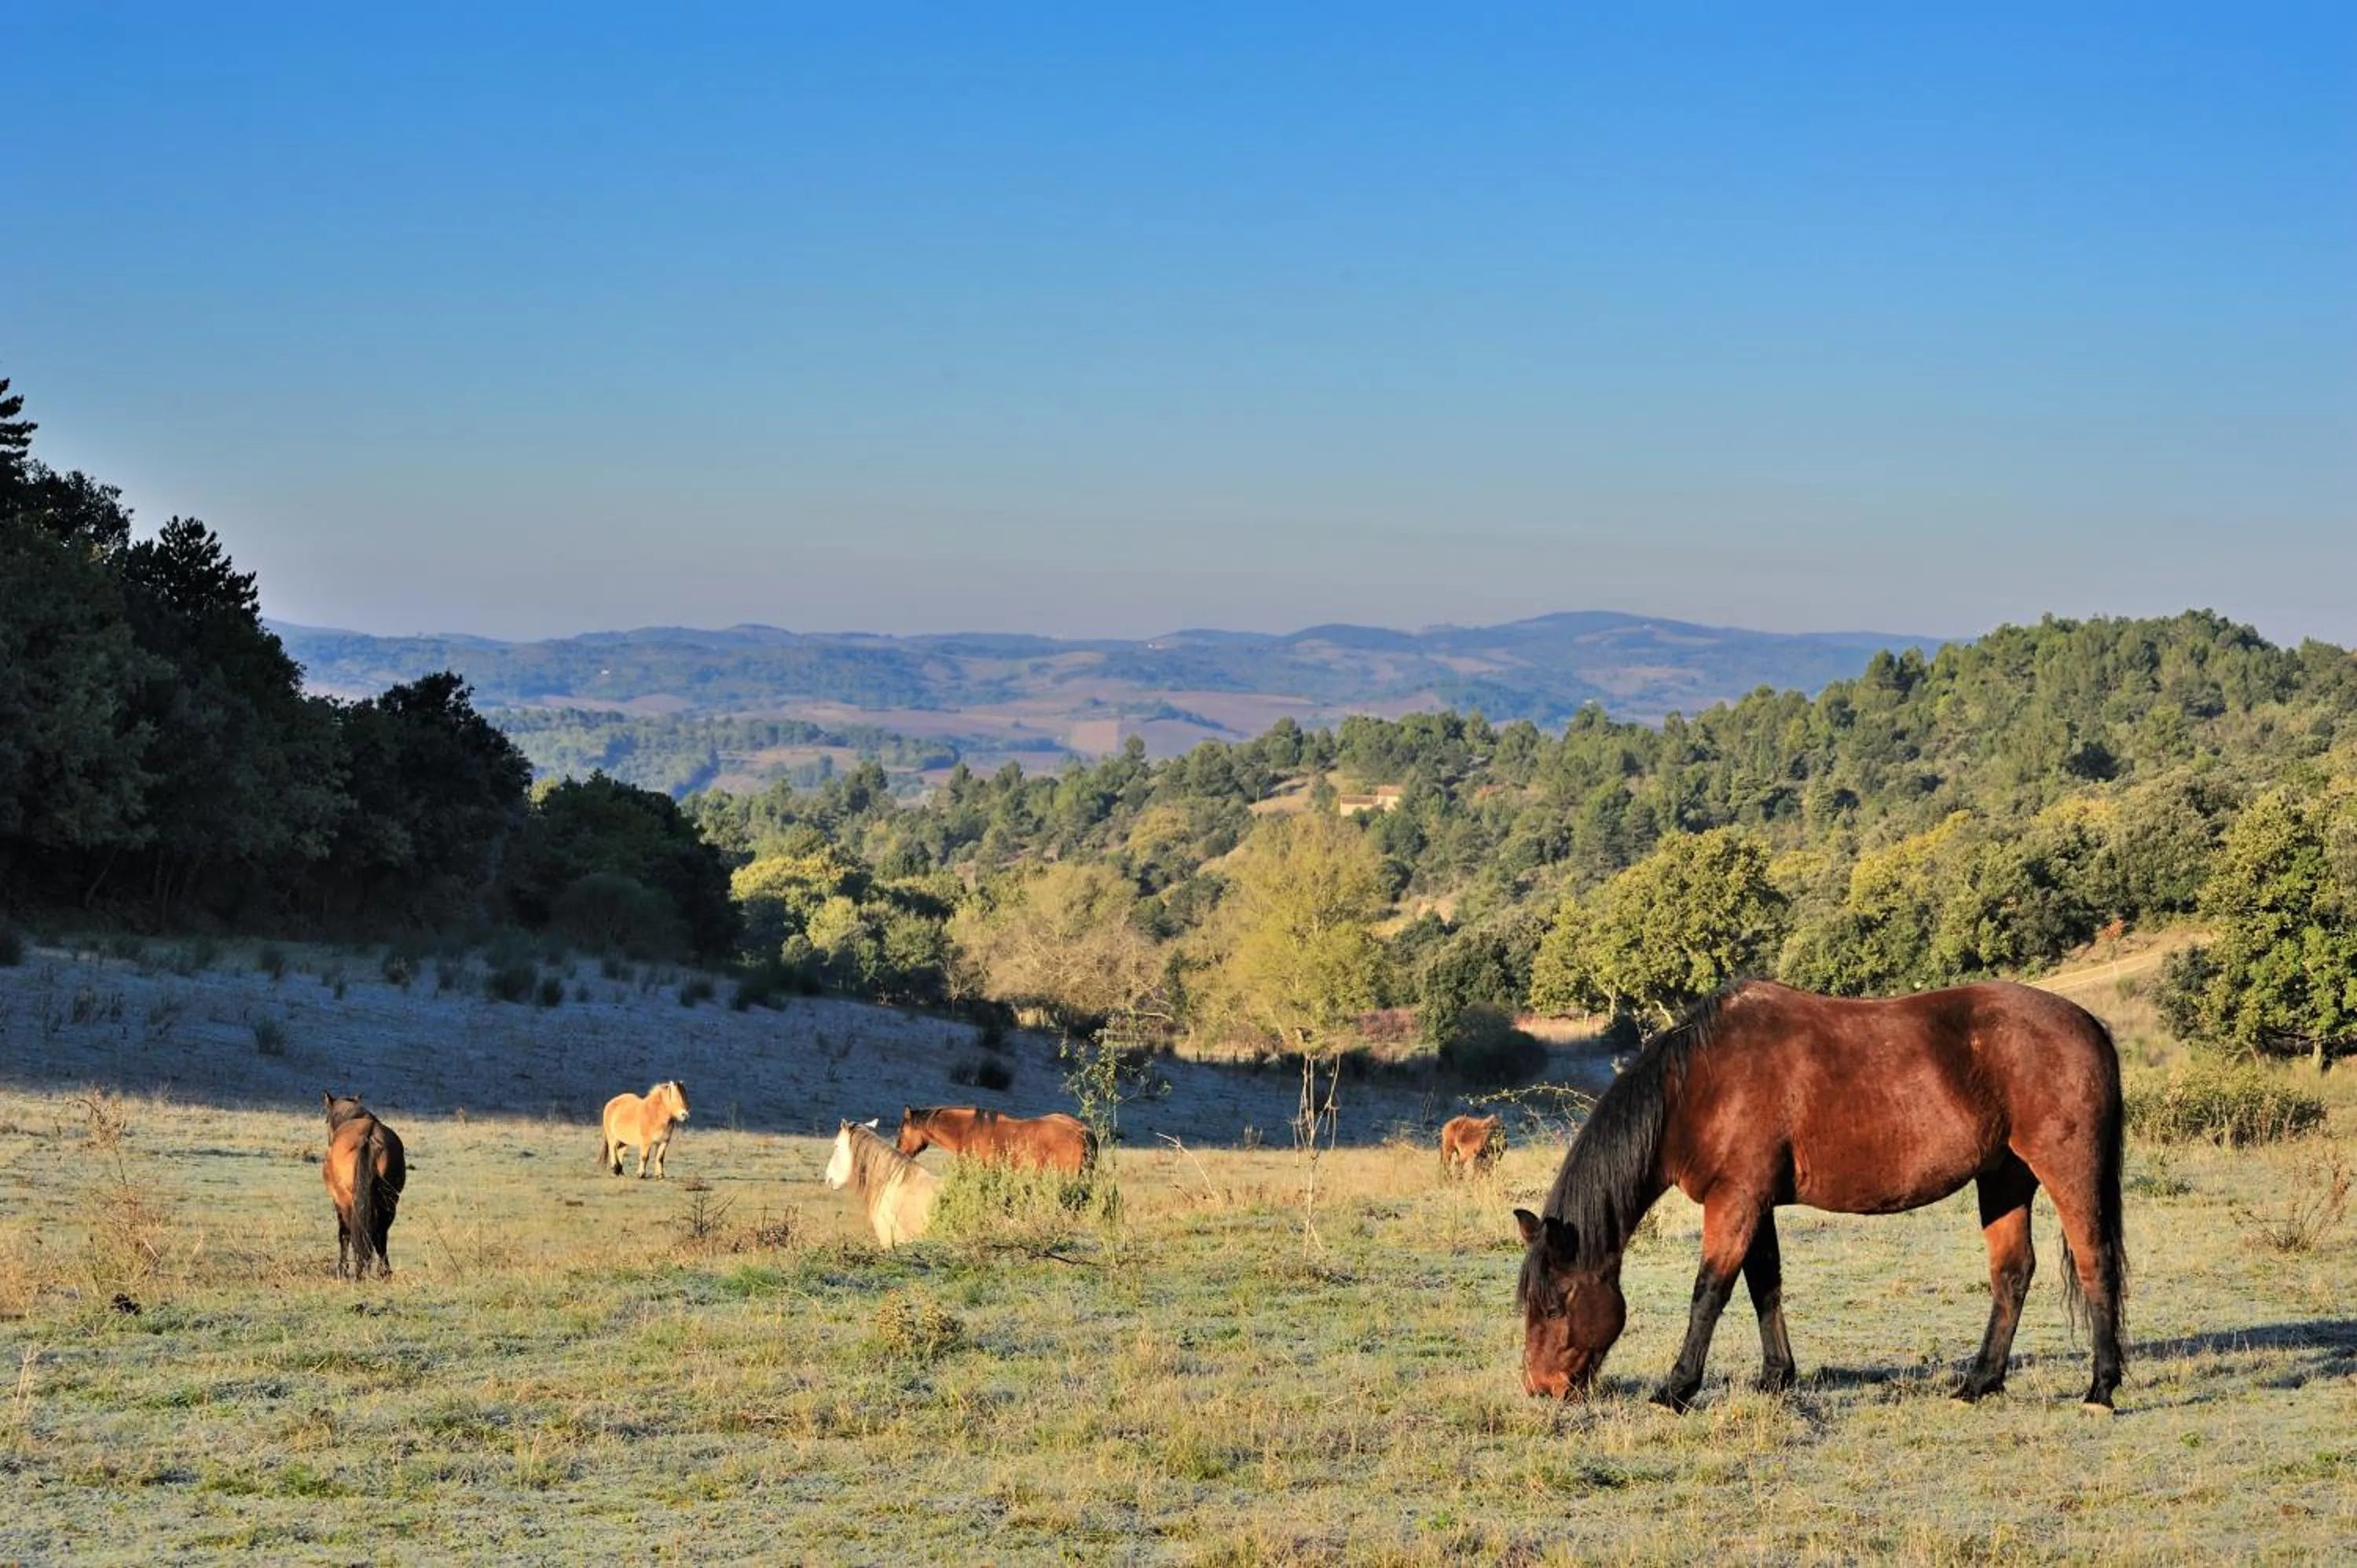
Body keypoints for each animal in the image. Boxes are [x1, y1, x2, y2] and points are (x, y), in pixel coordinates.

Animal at [323, 1092, 407, 1281]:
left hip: (349, 1201)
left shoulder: (338, 1201)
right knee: (381, 1235)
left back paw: (358, 1270)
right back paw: (384, 1272)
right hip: (389, 1201)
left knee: (354, 1232)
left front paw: (342, 1269)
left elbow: (344, 1234)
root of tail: (369, 1136)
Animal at [1514, 980, 2128, 1413]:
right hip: (2004, 1178)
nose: (1542, 1387)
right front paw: (1775, 1378)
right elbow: (1764, 1285)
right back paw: (1979, 1383)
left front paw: (1677, 1389)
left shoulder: (1735, 1200)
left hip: (2066, 1169)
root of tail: (2088, 1024)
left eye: (1555, 1304)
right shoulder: (1753, 1202)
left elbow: (1709, 1292)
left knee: (2094, 1262)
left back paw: (2100, 1388)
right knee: (2012, 1274)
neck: (1699, 1085)